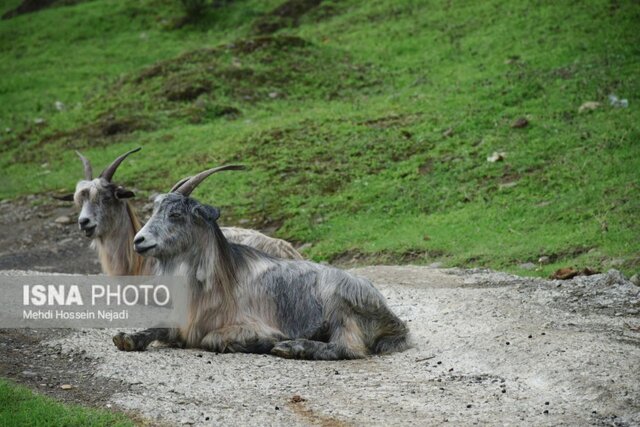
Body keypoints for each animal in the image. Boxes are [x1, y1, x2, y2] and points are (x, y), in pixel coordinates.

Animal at [112, 167, 408, 362]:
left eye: (175, 214)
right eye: (155, 211)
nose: (139, 241)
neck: (217, 282)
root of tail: (395, 321)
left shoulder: (248, 324)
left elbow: (212, 339)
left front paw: (266, 342)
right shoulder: (186, 322)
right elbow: (160, 328)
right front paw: (127, 338)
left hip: (339, 303)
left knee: (349, 348)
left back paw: (293, 348)